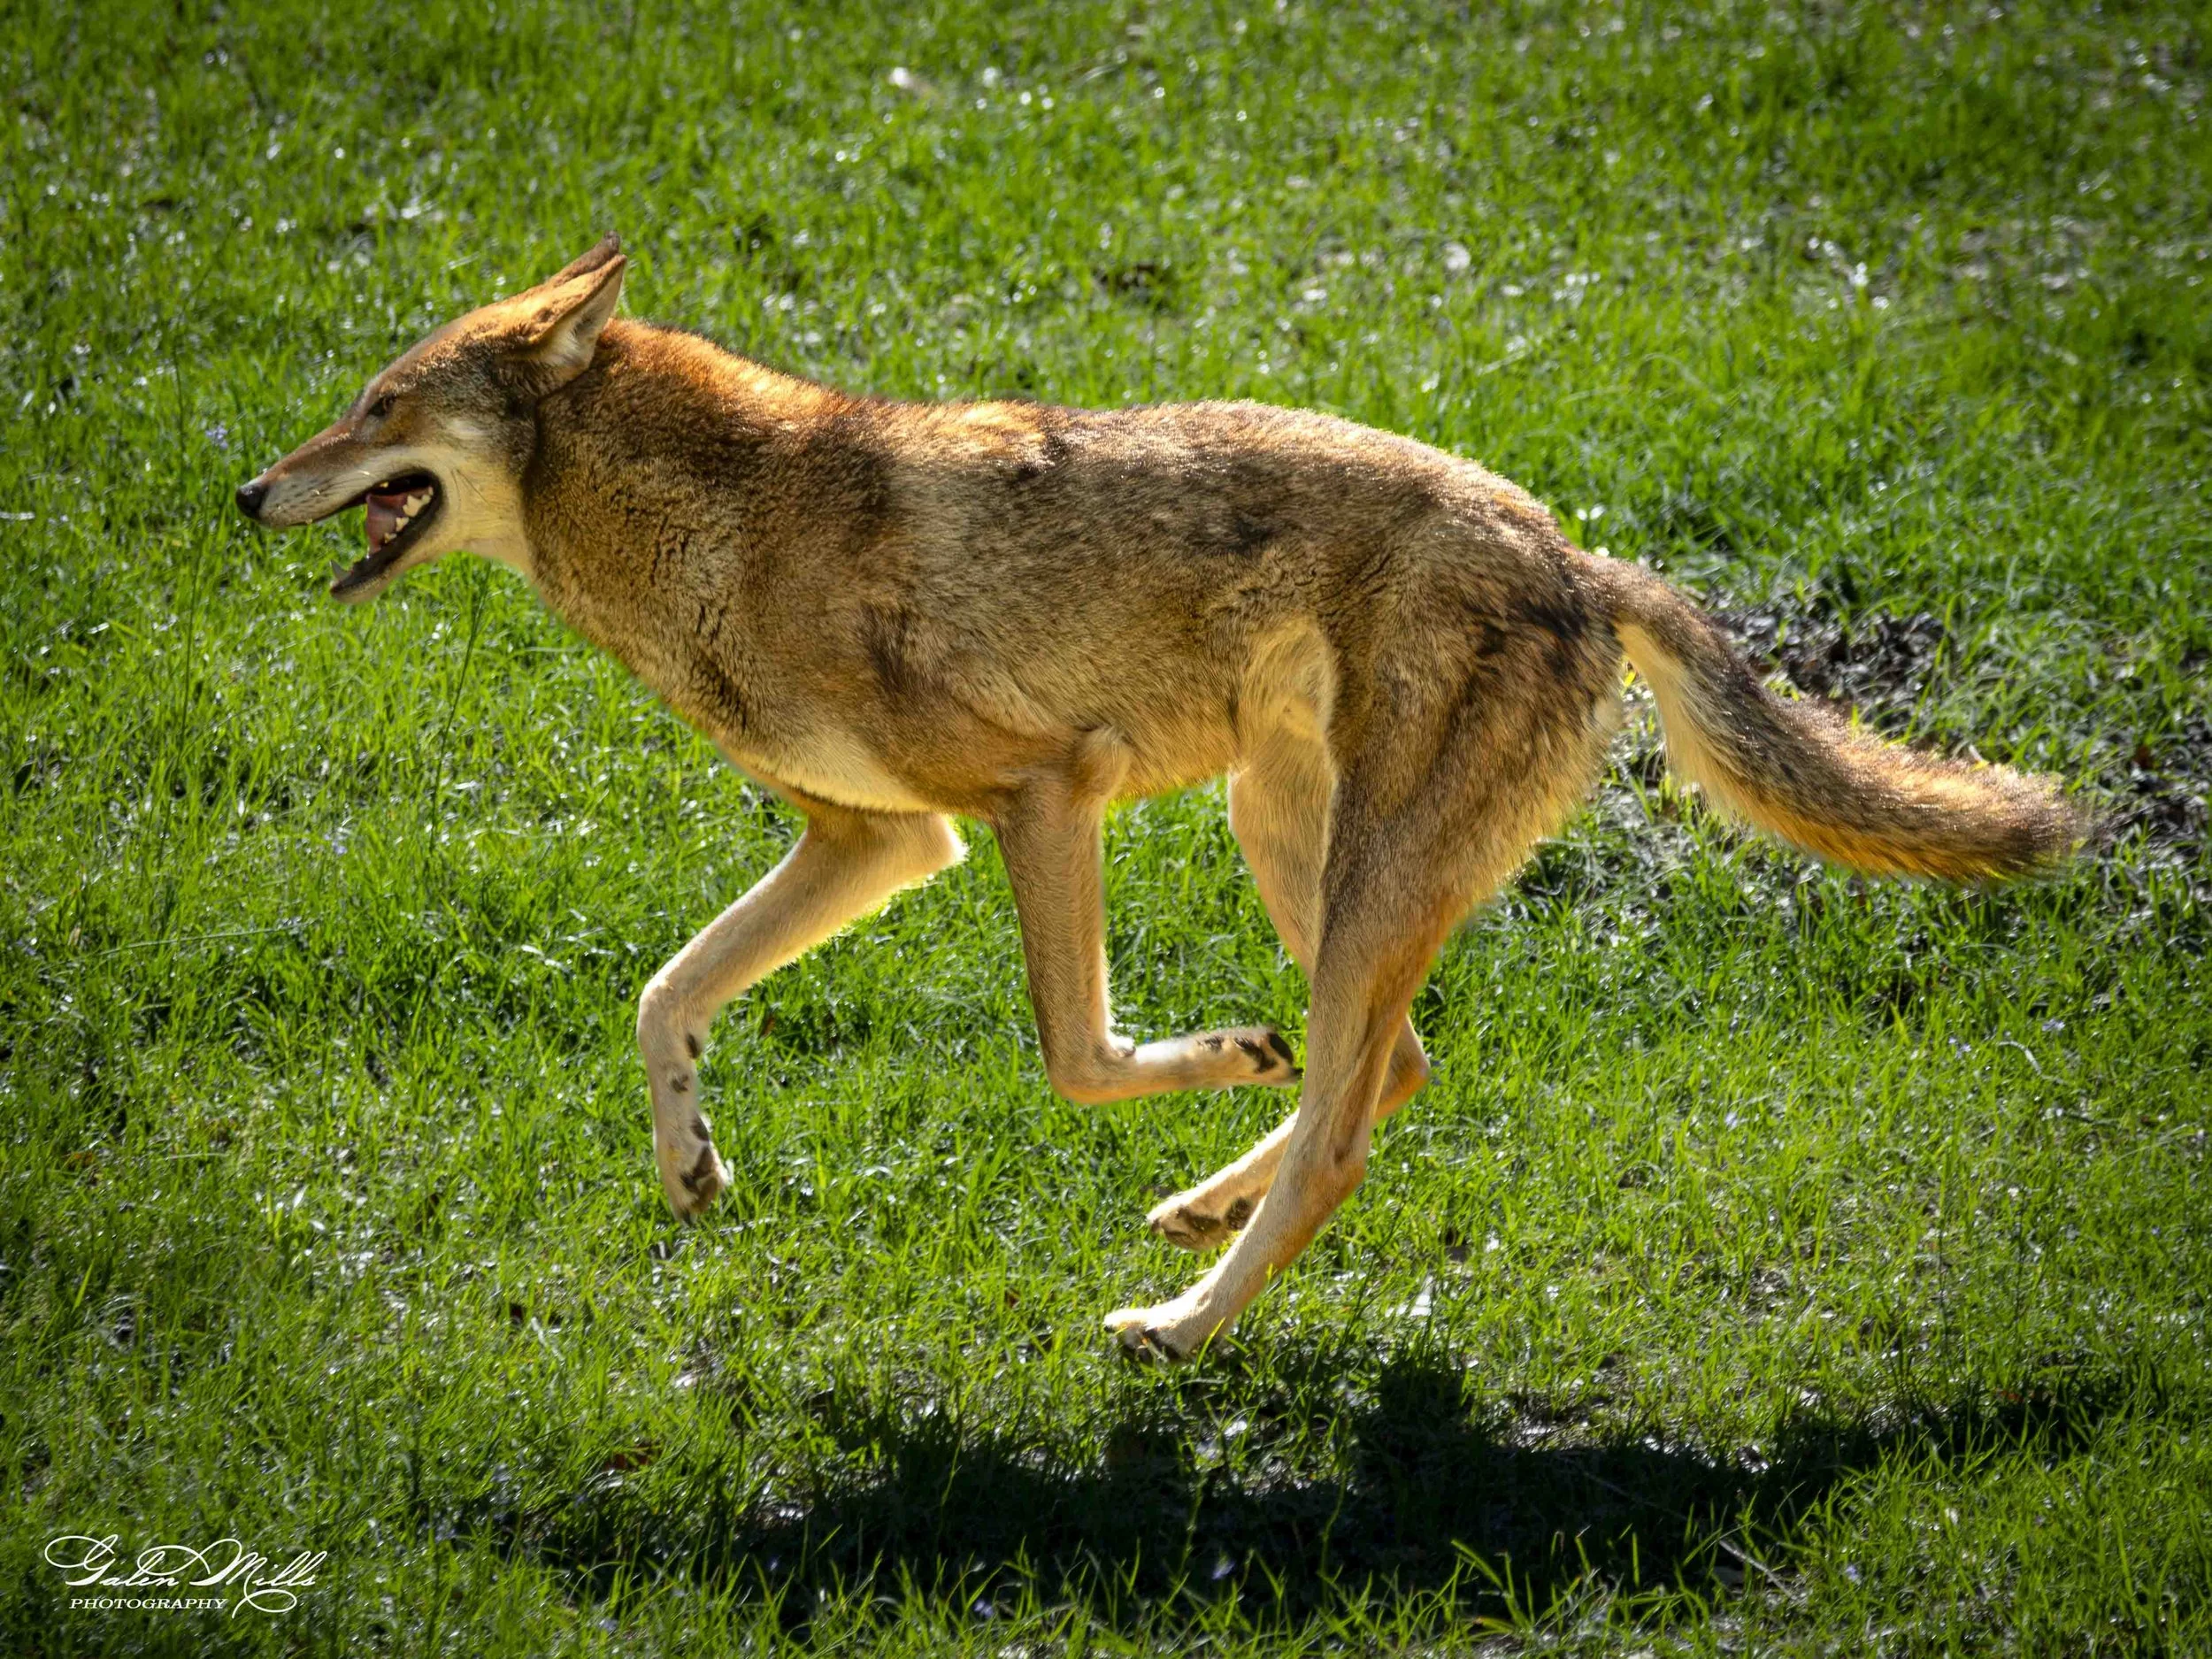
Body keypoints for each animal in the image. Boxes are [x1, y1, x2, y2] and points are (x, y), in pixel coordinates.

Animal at [238, 236, 2080, 1361]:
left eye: (379, 405)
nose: (246, 486)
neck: (718, 532)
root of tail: (1580, 555)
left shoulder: (1042, 793)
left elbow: (1075, 1055)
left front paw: (1201, 1062)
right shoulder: (880, 840)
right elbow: (658, 996)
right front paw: (693, 1166)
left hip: (1351, 885)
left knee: (1346, 1126)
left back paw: (1184, 1326)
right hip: (1300, 849)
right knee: (1395, 1070)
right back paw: (1206, 1207)